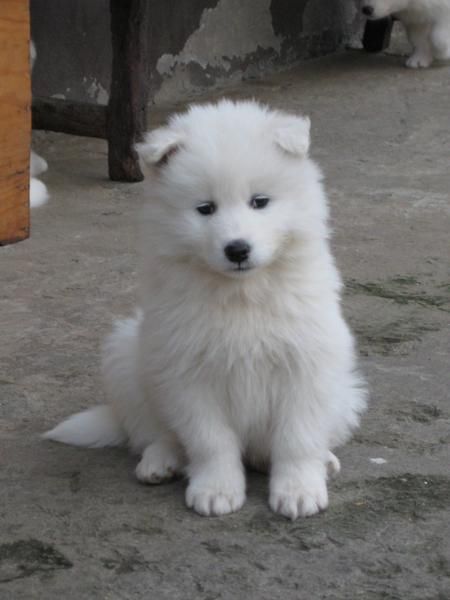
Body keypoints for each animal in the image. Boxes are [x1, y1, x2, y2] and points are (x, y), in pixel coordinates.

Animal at [44, 101, 366, 516]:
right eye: (205, 209)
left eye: (259, 202)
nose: (237, 249)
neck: (242, 295)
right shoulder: (188, 374)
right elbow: (210, 441)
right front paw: (216, 490)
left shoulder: (306, 364)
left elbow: (297, 437)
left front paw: (298, 490)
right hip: (129, 360)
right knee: (153, 431)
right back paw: (159, 462)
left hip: (346, 394)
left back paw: (320, 460)